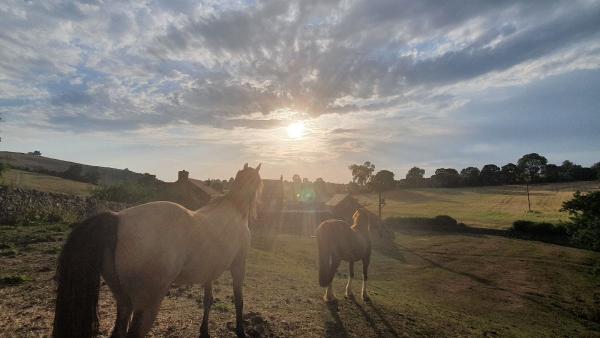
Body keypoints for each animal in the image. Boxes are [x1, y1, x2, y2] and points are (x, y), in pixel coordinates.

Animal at [52, 162, 264, 336]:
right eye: (260, 183)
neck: (233, 210)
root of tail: (117, 219)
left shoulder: (208, 272)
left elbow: (208, 300)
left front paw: (204, 331)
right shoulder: (239, 265)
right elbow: (238, 300)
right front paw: (240, 330)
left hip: (124, 302)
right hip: (147, 305)